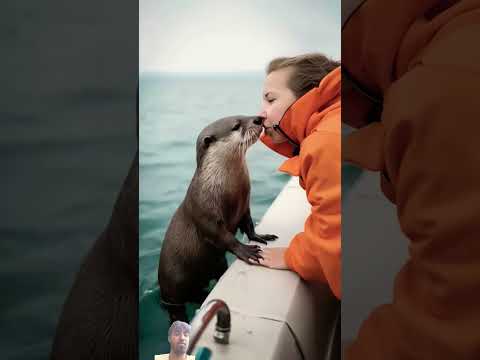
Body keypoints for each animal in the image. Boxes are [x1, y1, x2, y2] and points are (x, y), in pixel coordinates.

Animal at [158, 114, 278, 320]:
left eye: (242, 115)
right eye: (236, 125)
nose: (259, 118)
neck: (229, 189)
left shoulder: (244, 206)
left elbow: (249, 225)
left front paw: (260, 237)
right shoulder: (206, 213)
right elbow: (223, 236)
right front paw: (247, 250)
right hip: (175, 285)